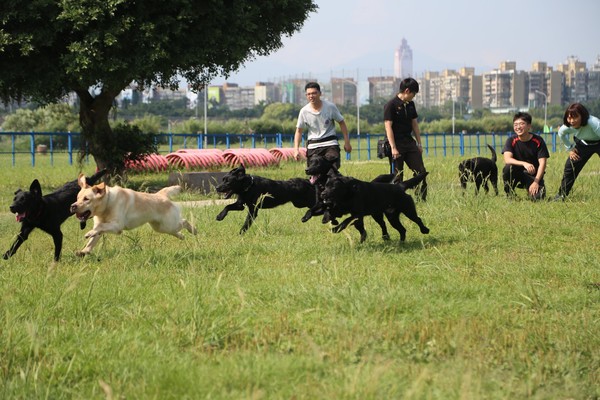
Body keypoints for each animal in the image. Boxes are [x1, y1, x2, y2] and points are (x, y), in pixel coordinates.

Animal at [69, 174, 197, 256]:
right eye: (77, 198)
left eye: (86, 199)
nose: (72, 206)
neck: (107, 204)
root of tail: (161, 195)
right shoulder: (102, 226)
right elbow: (94, 237)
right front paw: (84, 251)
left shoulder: (117, 226)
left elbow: (98, 228)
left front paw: (88, 234)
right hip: (160, 227)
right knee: (176, 230)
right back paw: (182, 236)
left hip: (168, 224)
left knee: (184, 221)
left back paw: (194, 230)